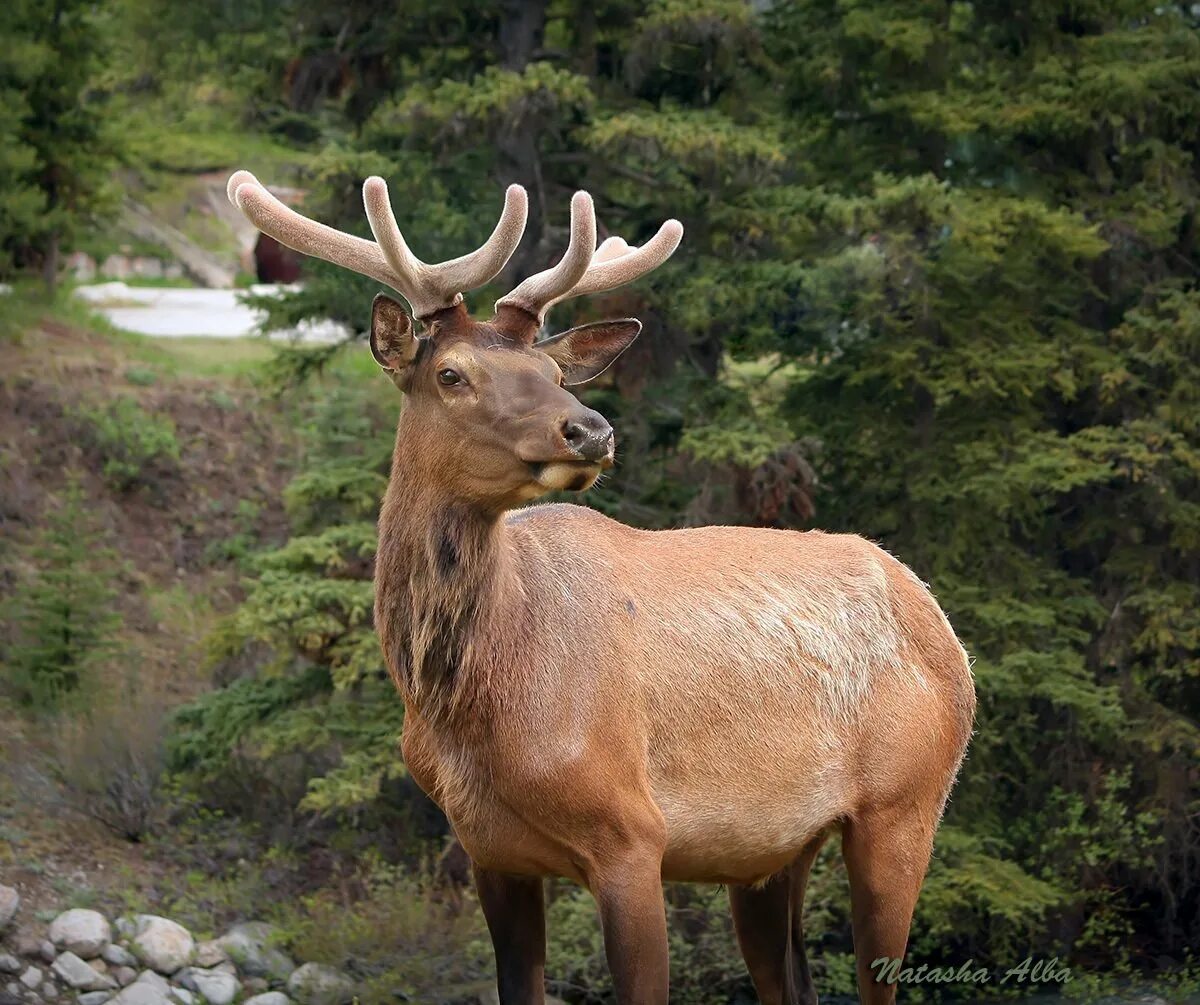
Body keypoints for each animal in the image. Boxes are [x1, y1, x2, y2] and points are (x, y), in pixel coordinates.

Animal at [226, 171, 974, 1005]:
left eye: (553, 375)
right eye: (452, 373)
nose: (591, 429)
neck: (473, 709)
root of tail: (943, 625)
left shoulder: (633, 832)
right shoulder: (491, 852)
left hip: (906, 804)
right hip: (774, 850)